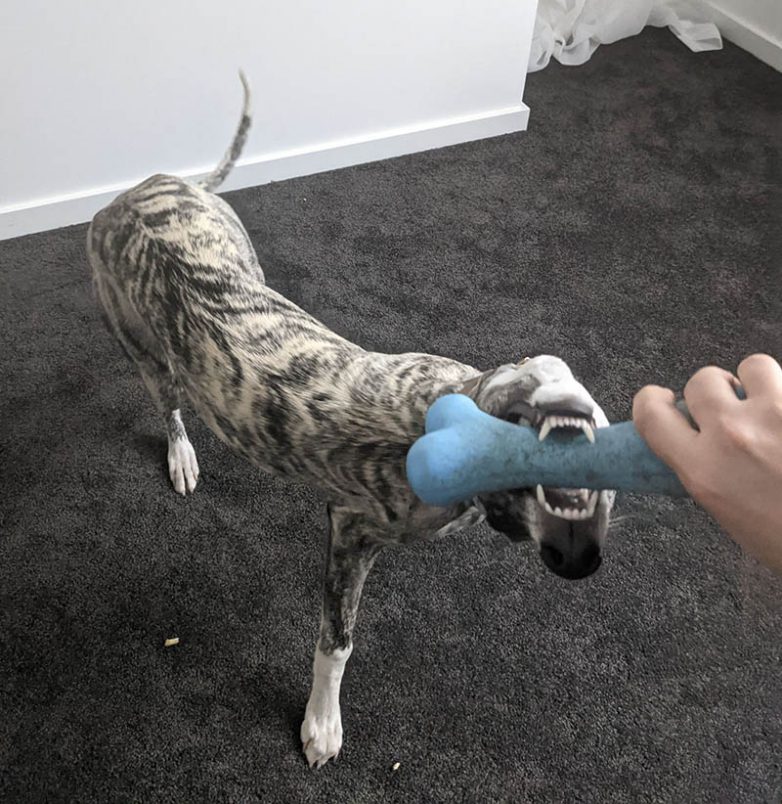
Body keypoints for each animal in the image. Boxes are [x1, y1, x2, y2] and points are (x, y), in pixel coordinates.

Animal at [87, 74, 615, 768]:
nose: (584, 566)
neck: (443, 411)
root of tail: (141, 191)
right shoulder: (350, 532)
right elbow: (336, 644)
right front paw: (321, 724)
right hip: (146, 352)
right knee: (169, 405)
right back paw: (181, 455)